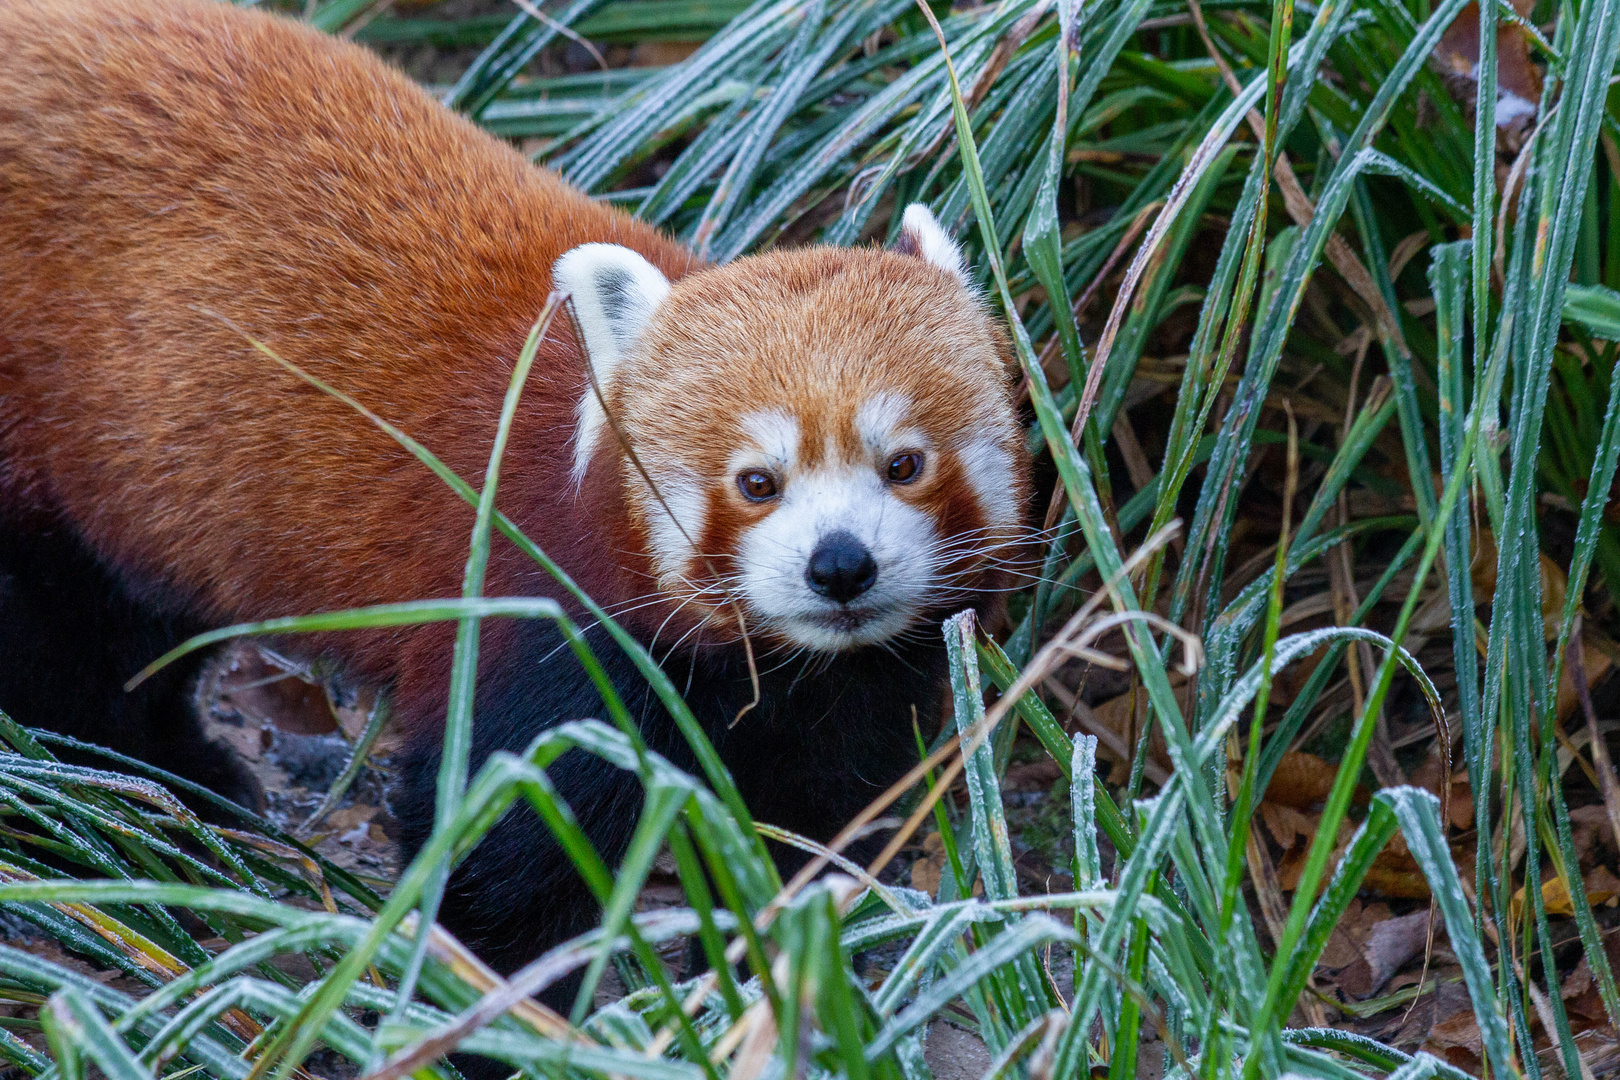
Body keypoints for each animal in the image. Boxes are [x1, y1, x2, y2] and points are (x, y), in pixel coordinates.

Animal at [0, 0, 1030, 990]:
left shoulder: (840, 701)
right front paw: (522, 1013)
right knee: (61, 650)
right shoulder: (534, 616)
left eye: (904, 464)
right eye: (757, 482)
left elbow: (809, 835)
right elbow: (502, 856)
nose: (840, 566)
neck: (771, 670)